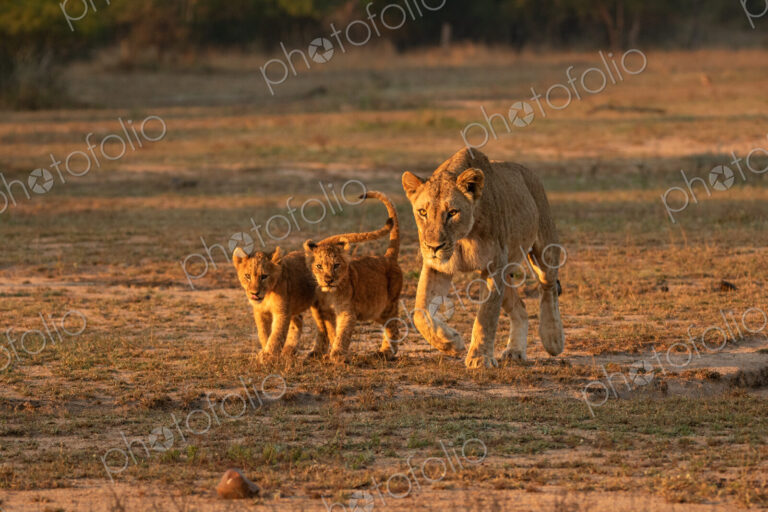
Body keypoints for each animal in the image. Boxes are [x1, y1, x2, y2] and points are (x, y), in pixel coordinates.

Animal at [304, 191, 403, 362]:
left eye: (336, 265)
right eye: (319, 266)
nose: (328, 280)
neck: (328, 294)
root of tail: (388, 257)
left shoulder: (347, 311)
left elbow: (342, 333)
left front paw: (337, 355)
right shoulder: (323, 311)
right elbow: (330, 331)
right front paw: (329, 353)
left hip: (383, 307)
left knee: (393, 326)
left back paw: (385, 352)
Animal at [401, 148, 564, 369]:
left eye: (452, 212)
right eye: (423, 212)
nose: (434, 247)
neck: (462, 238)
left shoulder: (493, 266)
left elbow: (487, 315)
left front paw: (480, 358)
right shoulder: (437, 267)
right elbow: (420, 311)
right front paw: (450, 342)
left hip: (544, 250)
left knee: (548, 288)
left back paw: (553, 338)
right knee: (520, 308)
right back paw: (515, 351)